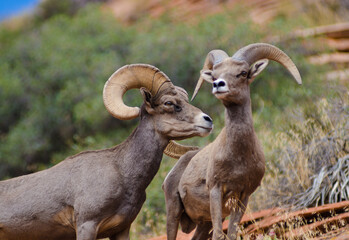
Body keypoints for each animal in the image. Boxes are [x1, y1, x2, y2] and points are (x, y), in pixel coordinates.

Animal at [162, 43, 300, 240]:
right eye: (214, 75)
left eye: (243, 73)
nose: (218, 85)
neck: (238, 157)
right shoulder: (216, 190)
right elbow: (220, 235)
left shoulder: (243, 196)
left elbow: (232, 234)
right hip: (173, 212)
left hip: (203, 224)